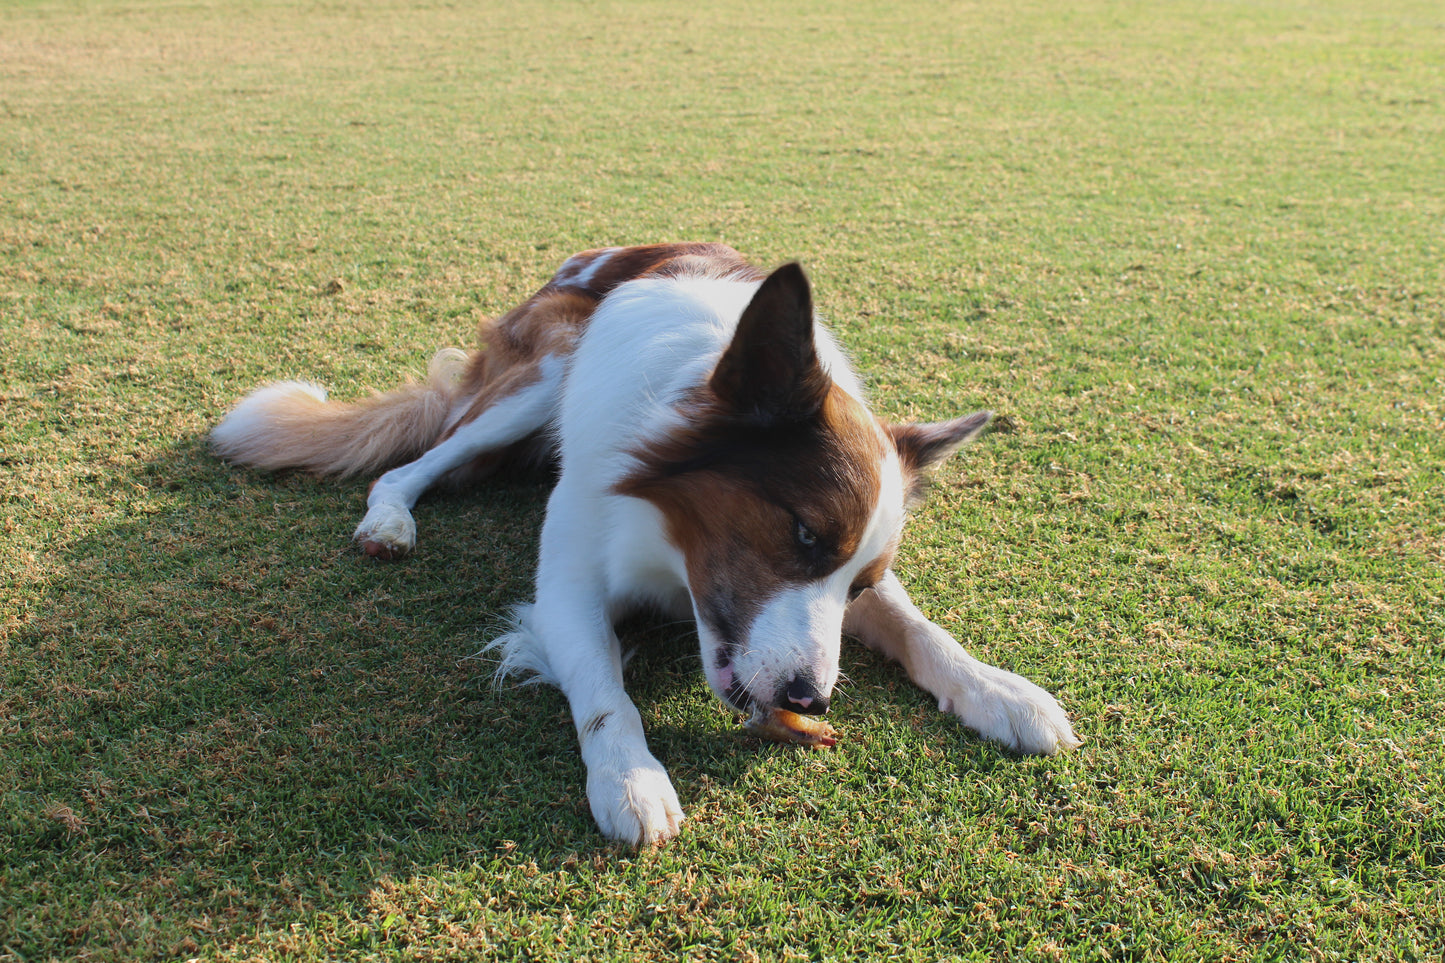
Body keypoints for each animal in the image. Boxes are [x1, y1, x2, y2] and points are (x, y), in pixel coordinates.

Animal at [209, 241, 1080, 838]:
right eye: (801, 531)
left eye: (857, 583)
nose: (811, 699)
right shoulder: (565, 588)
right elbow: (606, 694)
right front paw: (629, 779)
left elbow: (919, 627)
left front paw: (998, 689)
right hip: (539, 378)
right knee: (410, 465)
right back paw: (389, 520)